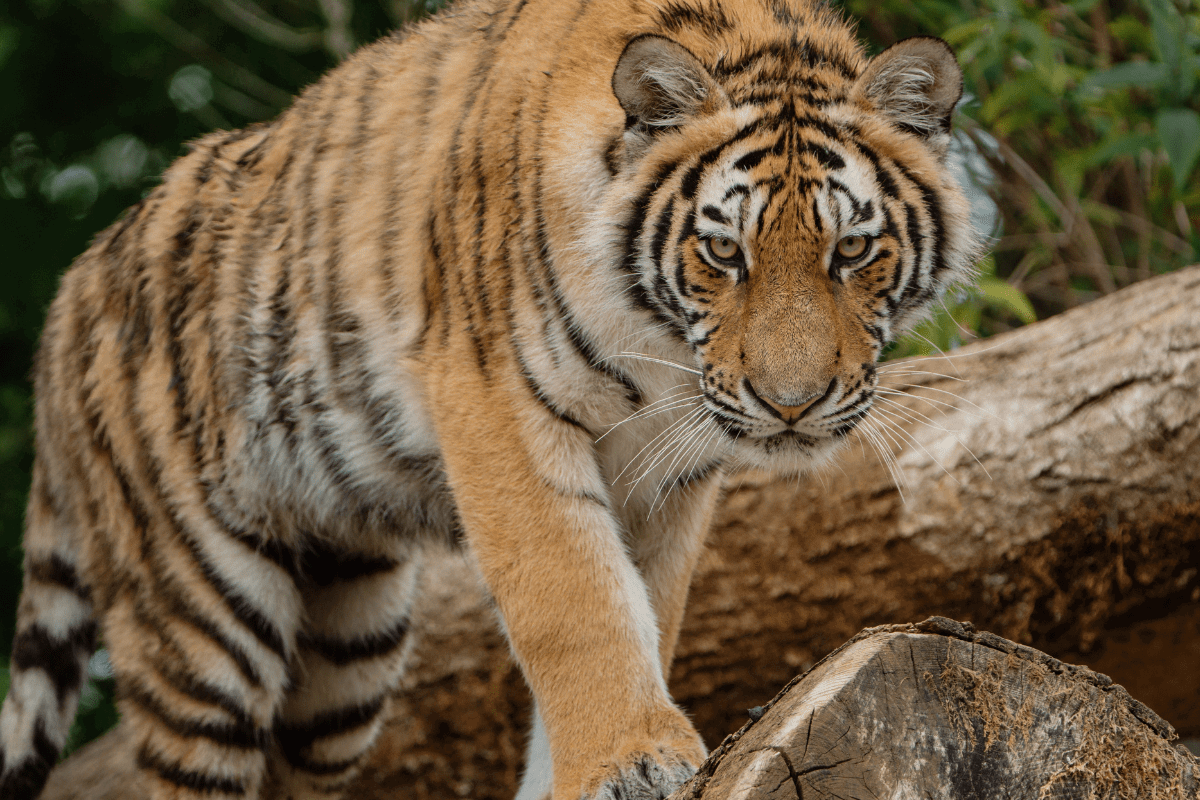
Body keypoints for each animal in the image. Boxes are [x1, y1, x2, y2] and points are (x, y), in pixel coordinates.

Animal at [0, 0, 982, 796]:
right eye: (723, 253)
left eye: (851, 251)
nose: (792, 404)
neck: (662, 355)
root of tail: (67, 296)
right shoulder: (496, 402)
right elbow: (574, 601)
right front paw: (630, 760)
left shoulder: (665, 476)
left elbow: (646, 610)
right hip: (200, 616)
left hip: (345, 649)